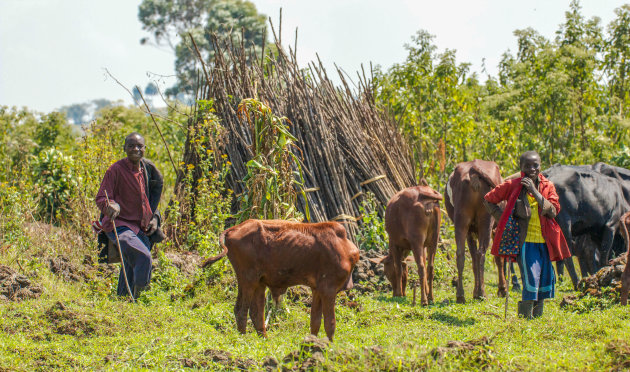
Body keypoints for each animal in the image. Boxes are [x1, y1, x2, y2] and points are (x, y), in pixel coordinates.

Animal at [201, 219, 360, 342]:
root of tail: (232, 229)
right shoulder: (328, 289)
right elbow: (330, 323)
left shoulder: (317, 289)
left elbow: (315, 322)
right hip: (248, 279)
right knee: (241, 311)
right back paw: (243, 339)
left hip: (257, 283)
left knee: (256, 313)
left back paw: (264, 340)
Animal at [446, 159, 506, 302]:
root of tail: (473, 169)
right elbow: (498, 259)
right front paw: (502, 289)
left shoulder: (470, 232)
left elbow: (473, 261)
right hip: (486, 220)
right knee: (481, 254)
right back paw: (481, 293)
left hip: (461, 221)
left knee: (461, 254)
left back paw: (460, 295)